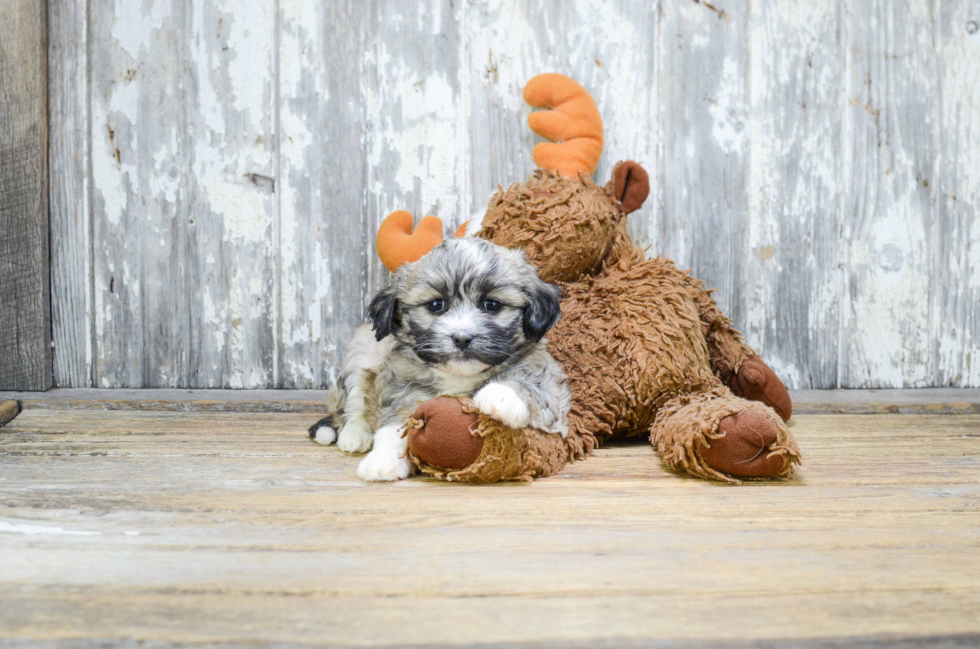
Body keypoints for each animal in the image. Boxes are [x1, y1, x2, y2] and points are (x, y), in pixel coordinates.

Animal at [310, 235, 572, 478]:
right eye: (436, 305)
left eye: (492, 304)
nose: (462, 338)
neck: (458, 376)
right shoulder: (401, 388)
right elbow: (395, 423)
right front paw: (383, 460)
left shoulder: (550, 384)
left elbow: (532, 386)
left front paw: (500, 395)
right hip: (360, 355)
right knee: (353, 403)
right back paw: (354, 435)